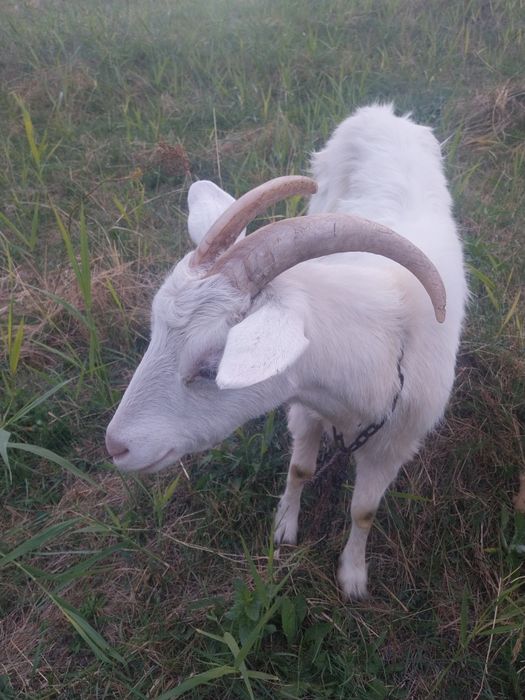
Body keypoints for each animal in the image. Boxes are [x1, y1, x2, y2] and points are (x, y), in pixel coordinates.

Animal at [106, 104, 467, 599]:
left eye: (211, 366)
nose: (115, 446)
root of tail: (382, 111)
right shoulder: (305, 406)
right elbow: (299, 471)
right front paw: (283, 528)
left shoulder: (394, 445)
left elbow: (364, 512)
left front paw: (353, 576)